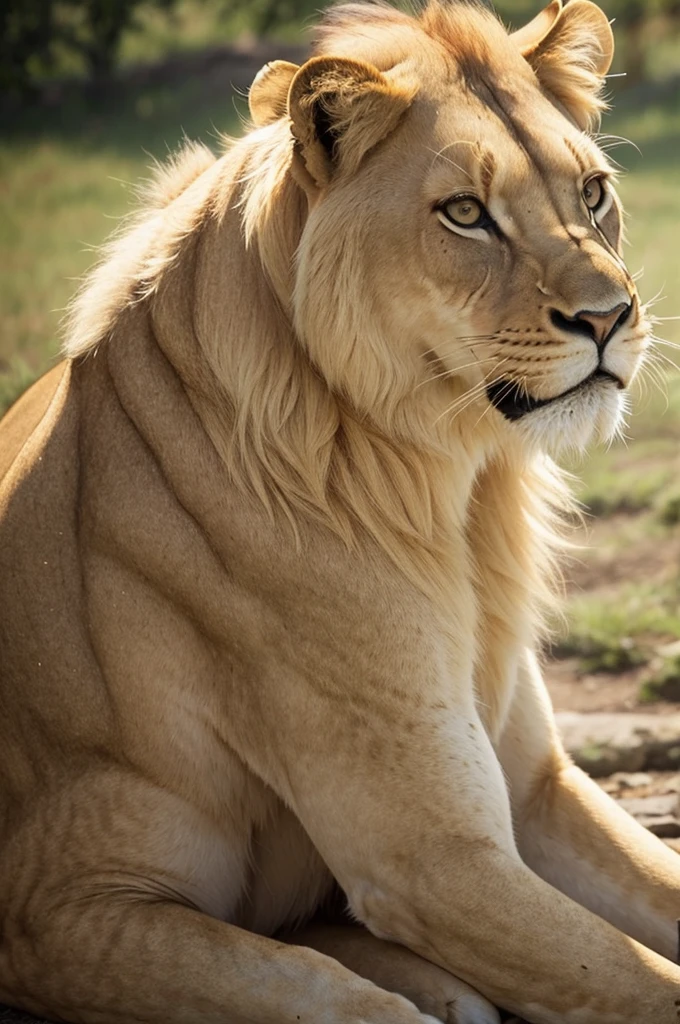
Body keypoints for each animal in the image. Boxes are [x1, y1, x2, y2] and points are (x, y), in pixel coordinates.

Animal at [1, 0, 680, 1019]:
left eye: (593, 192)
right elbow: (636, 979)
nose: (610, 318)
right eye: (466, 213)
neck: (454, 487)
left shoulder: (537, 791)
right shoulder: (432, 860)